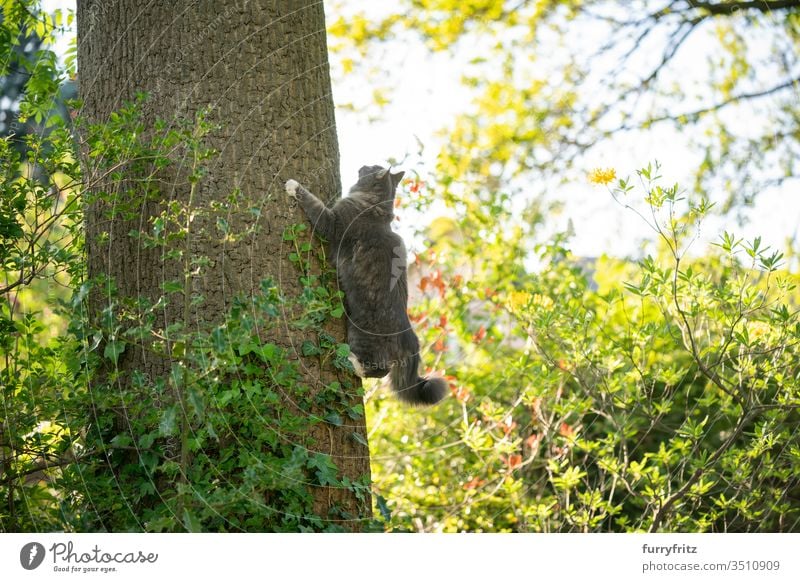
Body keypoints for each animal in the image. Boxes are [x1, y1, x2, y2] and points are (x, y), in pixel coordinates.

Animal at [284, 165, 446, 406]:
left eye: (371, 167)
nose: (362, 166)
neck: (374, 206)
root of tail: (409, 337)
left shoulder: (332, 221)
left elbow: (313, 202)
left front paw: (293, 185)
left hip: (361, 336)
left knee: (378, 370)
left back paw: (350, 360)